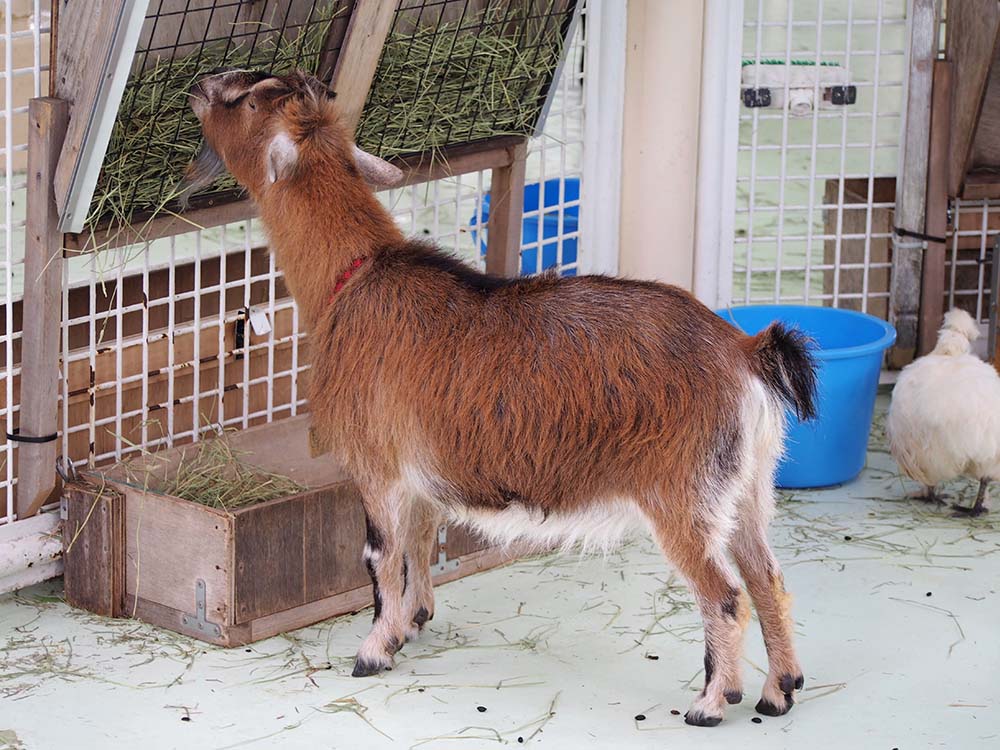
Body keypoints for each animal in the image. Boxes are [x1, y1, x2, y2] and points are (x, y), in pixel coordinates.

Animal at [184, 70, 816, 728]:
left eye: (248, 98)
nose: (199, 86)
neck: (355, 277)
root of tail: (743, 351)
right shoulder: (422, 470)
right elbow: (419, 539)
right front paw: (414, 621)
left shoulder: (377, 465)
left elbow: (380, 555)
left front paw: (374, 649)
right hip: (747, 489)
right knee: (768, 577)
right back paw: (779, 690)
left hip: (683, 496)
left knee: (726, 595)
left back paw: (712, 702)